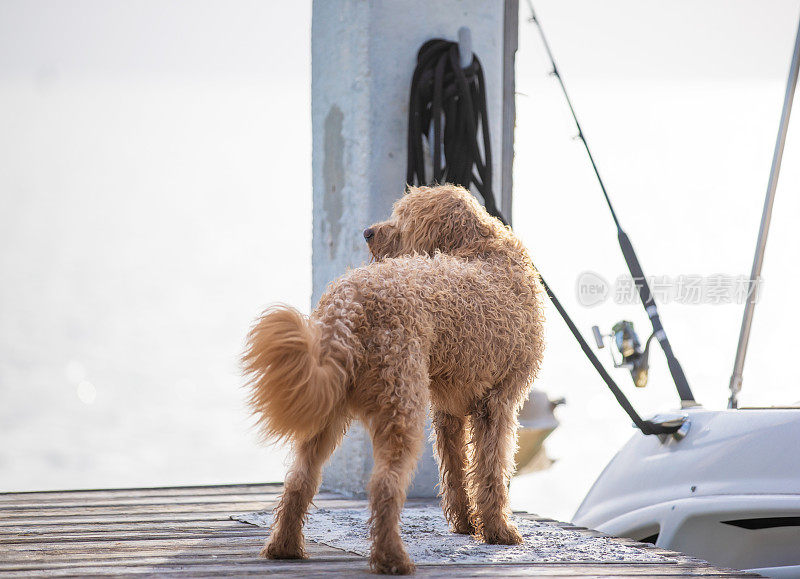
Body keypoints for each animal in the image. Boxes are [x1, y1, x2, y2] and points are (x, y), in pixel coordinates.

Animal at [242, 184, 544, 572]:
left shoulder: (449, 411)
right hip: (402, 406)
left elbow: (457, 471)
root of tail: (347, 304)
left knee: (299, 479)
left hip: (328, 409)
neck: (481, 249)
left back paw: (284, 546)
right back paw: (392, 558)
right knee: (384, 485)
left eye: (403, 218)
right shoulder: (499, 404)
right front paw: (498, 530)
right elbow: (492, 472)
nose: (367, 232)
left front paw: (465, 523)